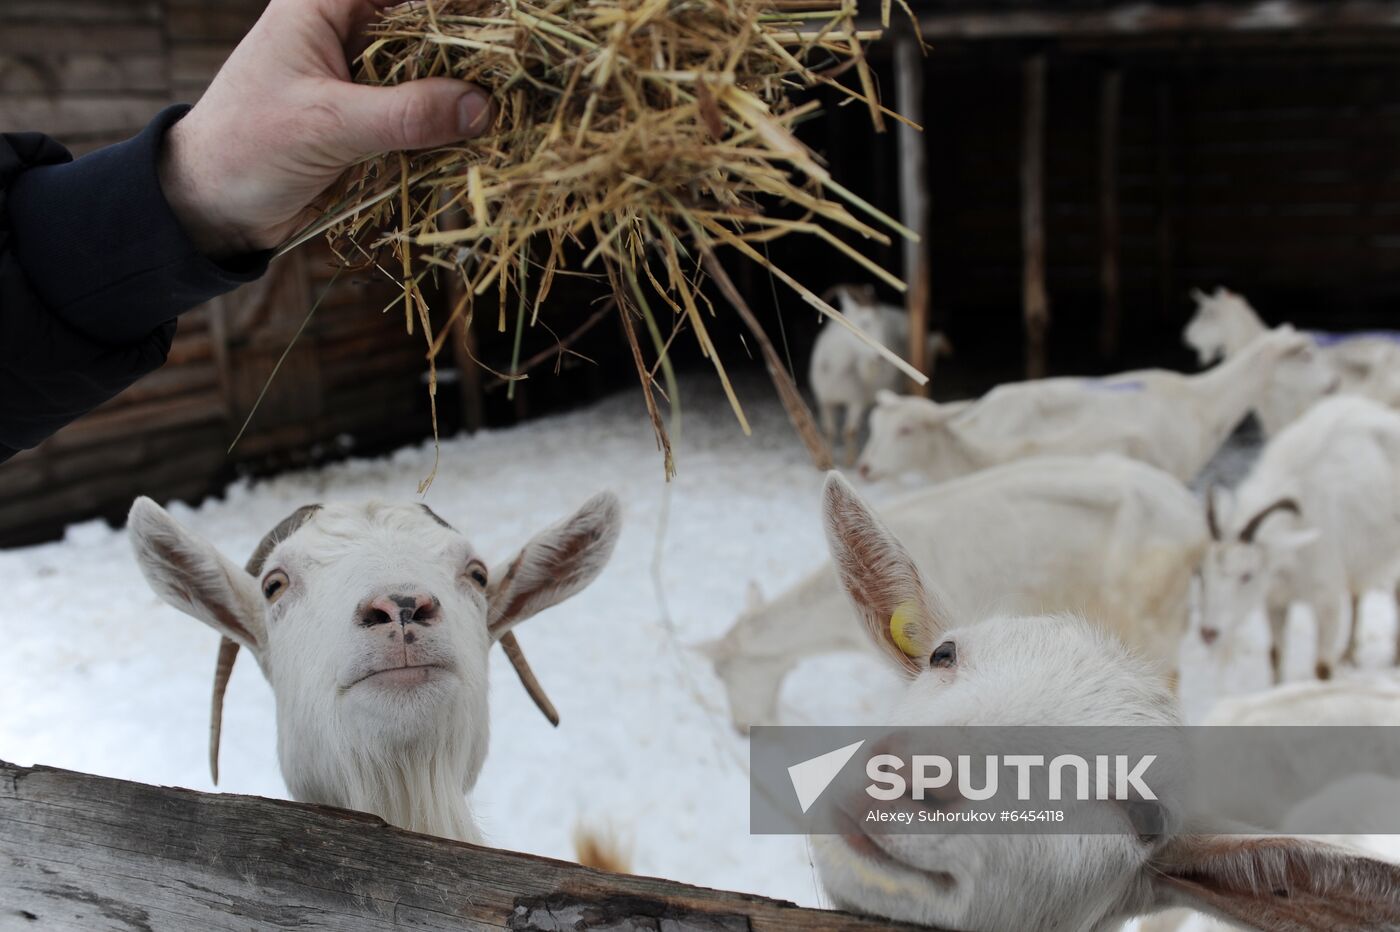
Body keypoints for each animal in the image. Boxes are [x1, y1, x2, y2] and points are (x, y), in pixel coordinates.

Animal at [810, 283, 952, 465]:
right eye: (865, 323)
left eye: (882, 327)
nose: (880, 356)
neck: (838, 369)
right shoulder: (824, 400)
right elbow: (829, 430)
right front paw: (829, 458)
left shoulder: (856, 400)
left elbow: (850, 431)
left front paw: (849, 461)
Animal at [1198, 395, 1400, 683]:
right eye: (1202, 575)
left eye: (1247, 575)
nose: (1208, 632)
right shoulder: (1275, 599)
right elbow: (1275, 654)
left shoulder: (1326, 598)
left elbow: (1322, 667)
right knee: (1356, 592)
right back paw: (1349, 654)